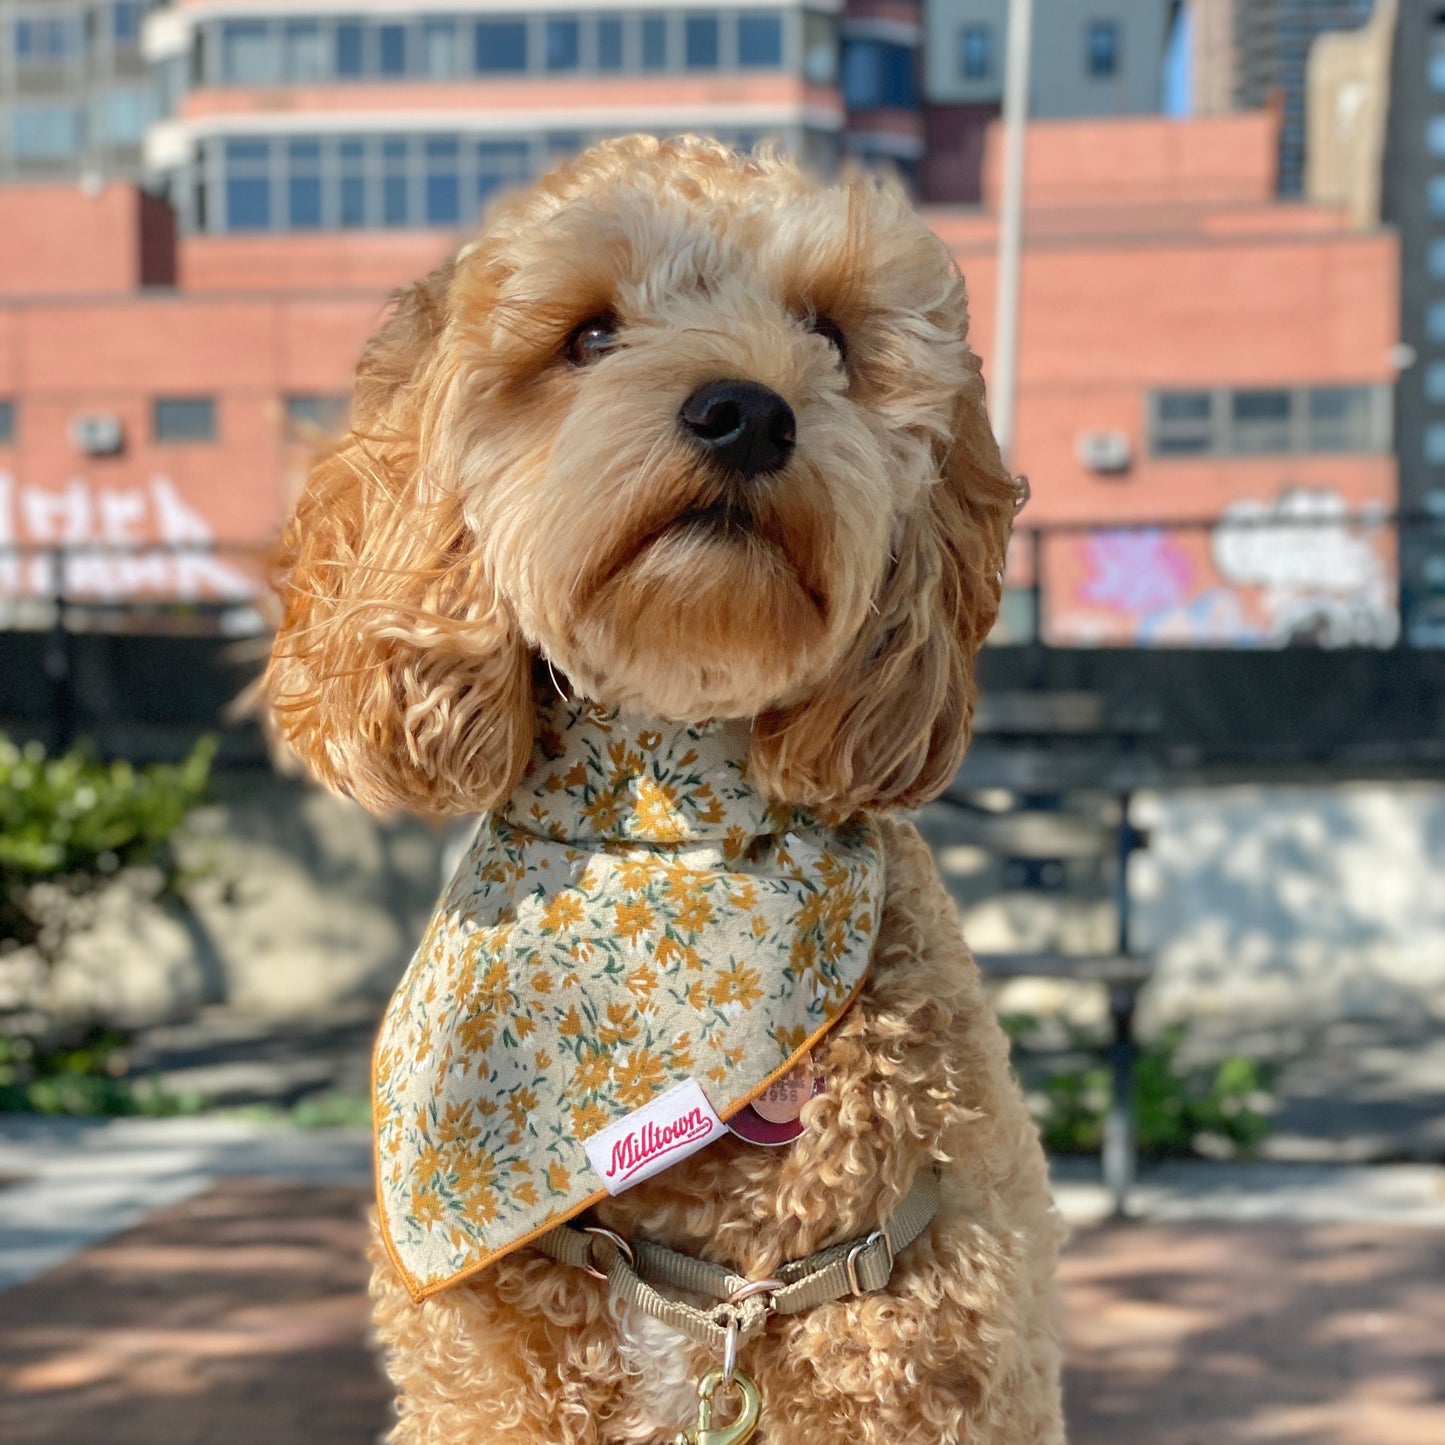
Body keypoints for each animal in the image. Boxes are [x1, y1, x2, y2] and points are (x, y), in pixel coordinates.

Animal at [268, 135, 1063, 1445]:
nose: (745, 411)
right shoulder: (483, 1392)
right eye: (588, 335)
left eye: (828, 335)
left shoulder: (917, 1365)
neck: (664, 825)